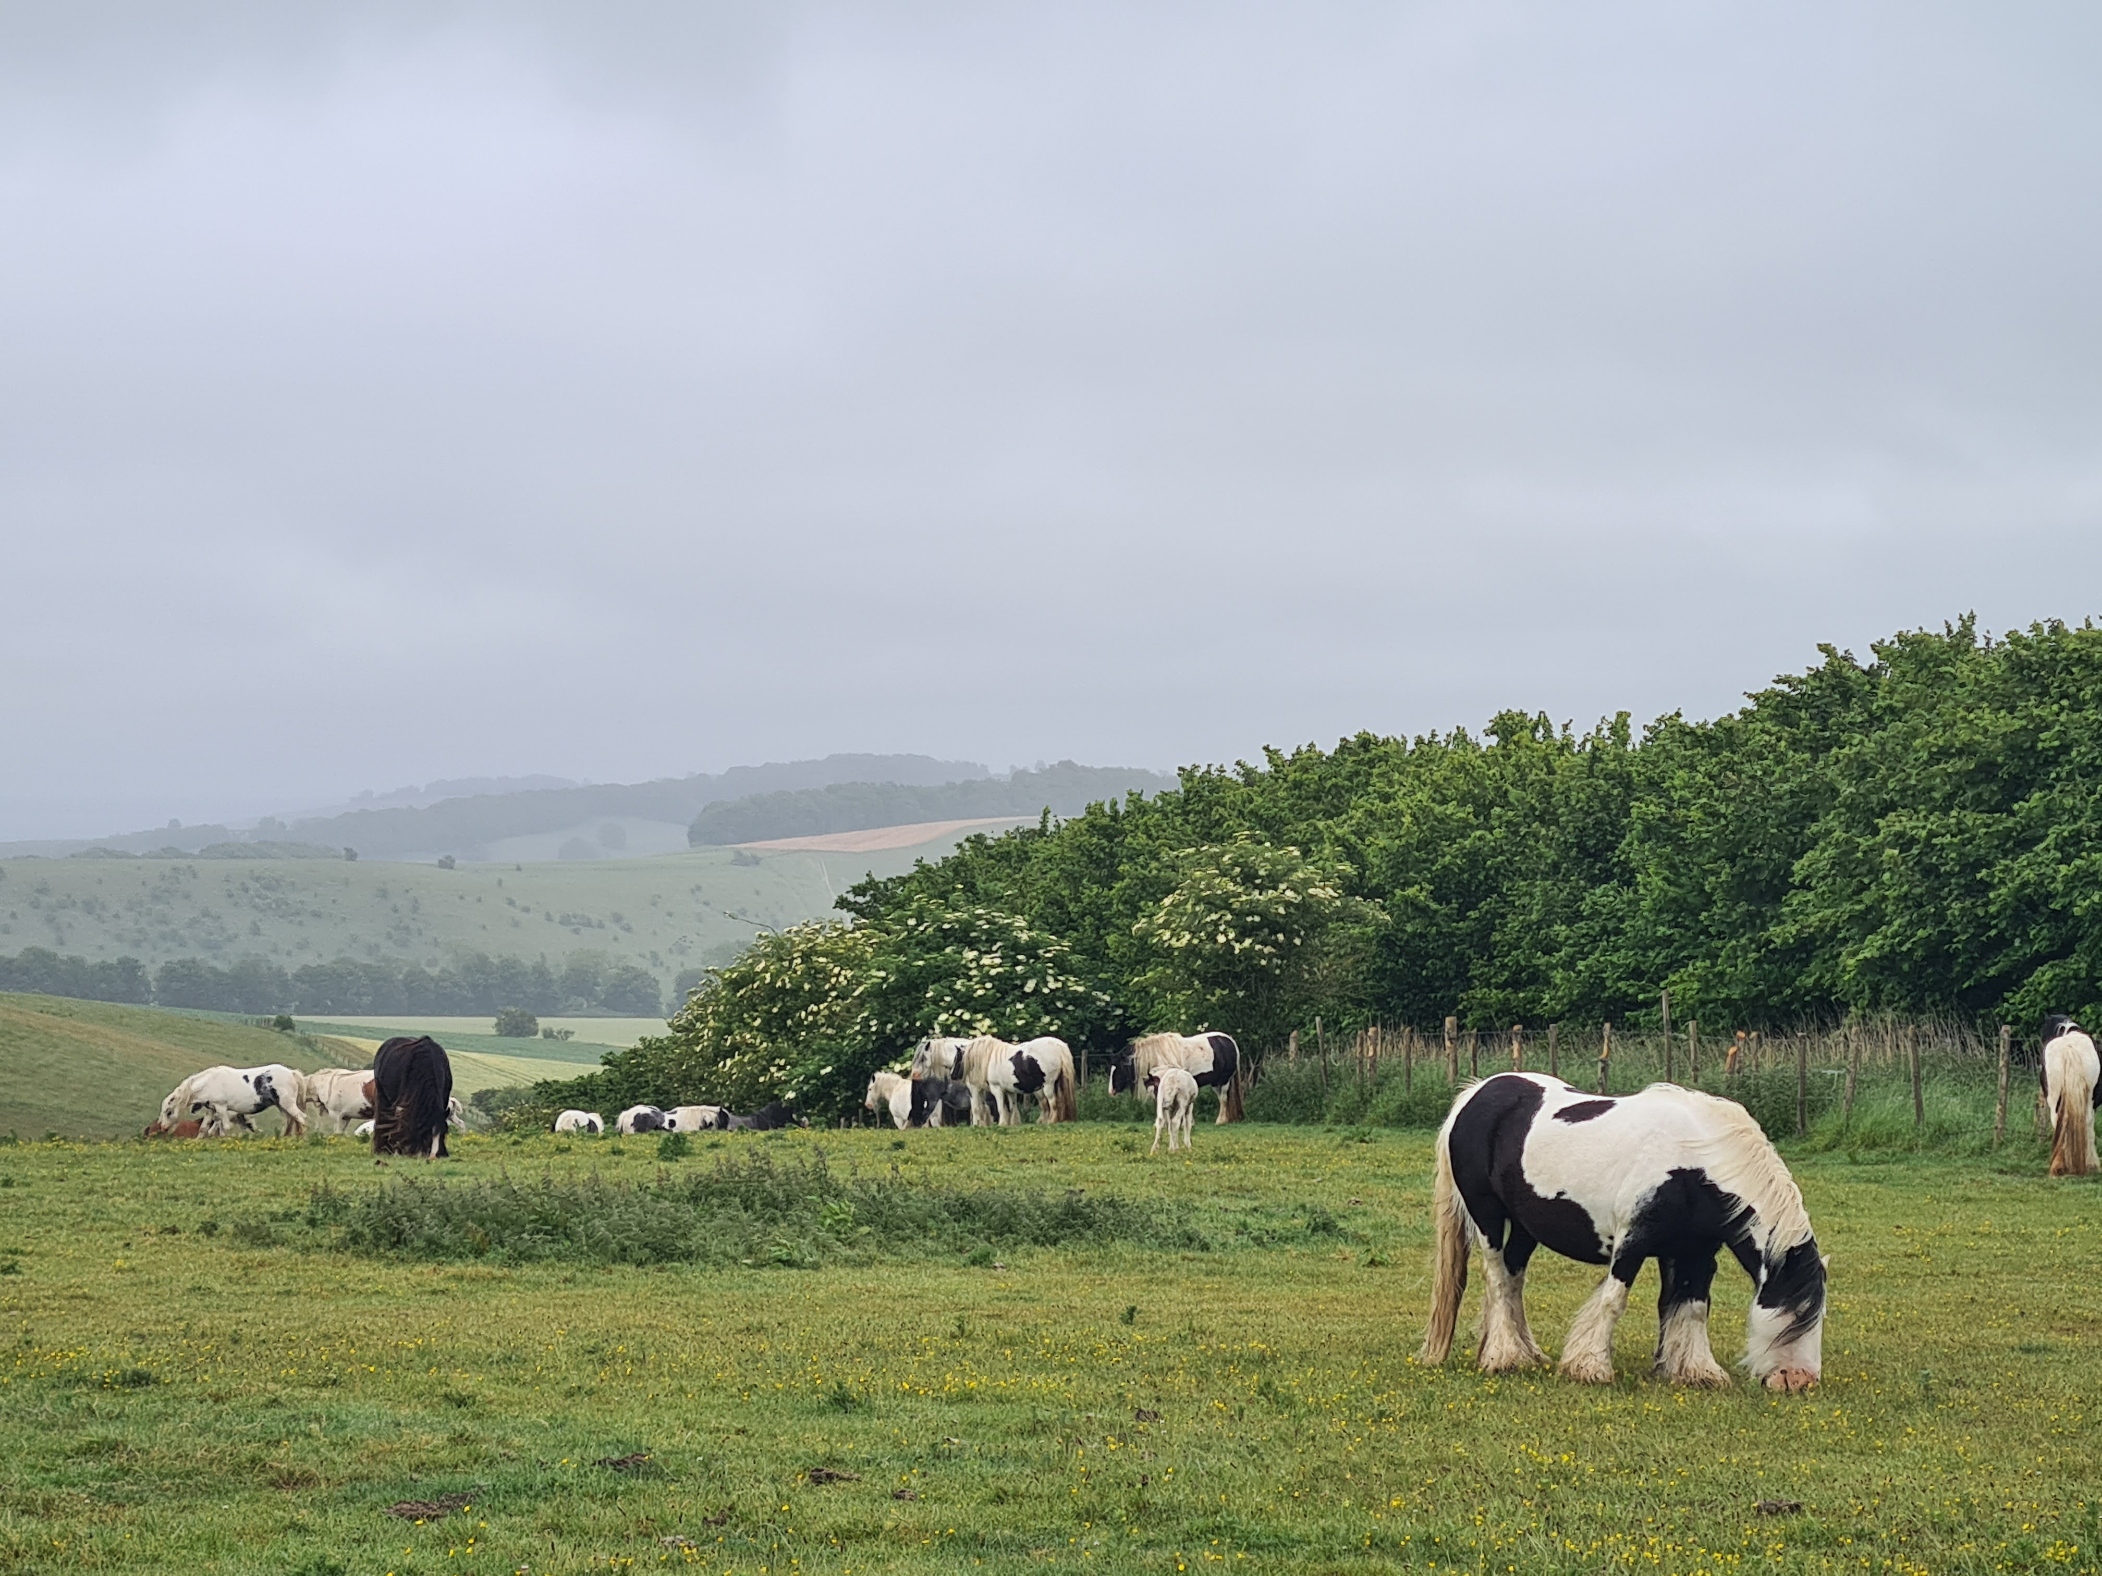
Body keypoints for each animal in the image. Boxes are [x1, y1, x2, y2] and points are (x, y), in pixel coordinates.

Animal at [148, 1064, 308, 1138]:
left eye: (169, 1112)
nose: (162, 1127)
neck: (210, 1082)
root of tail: (292, 1073)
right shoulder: (211, 1109)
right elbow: (204, 1128)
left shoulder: (221, 1107)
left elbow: (224, 1127)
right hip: (282, 1106)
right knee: (289, 1121)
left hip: (287, 1103)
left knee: (301, 1117)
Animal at [1110, 1033, 1243, 1122]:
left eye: (1117, 1069)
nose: (1111, 1091)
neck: (1158, 1057)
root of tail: (1230, 1041)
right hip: (1216, 1082)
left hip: (1224, 1081)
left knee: (1223, 1099)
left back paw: (1221, 1120)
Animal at [1418, 1073, 1826, 1392]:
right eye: (1797, 1311)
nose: (1800, 1380)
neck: (1697, 1163)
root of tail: (1475, 1094)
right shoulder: (1632, 1243)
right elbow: (1614, 1299)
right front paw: (1590, 1366)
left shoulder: (1696, 1252)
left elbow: (1692, 1307)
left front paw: (1694, 1370)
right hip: (1487, 1215)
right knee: (1497, 1278)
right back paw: (1504, 1357)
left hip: (1524, 1227)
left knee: (1513, 1276)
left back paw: (1526, 1352)